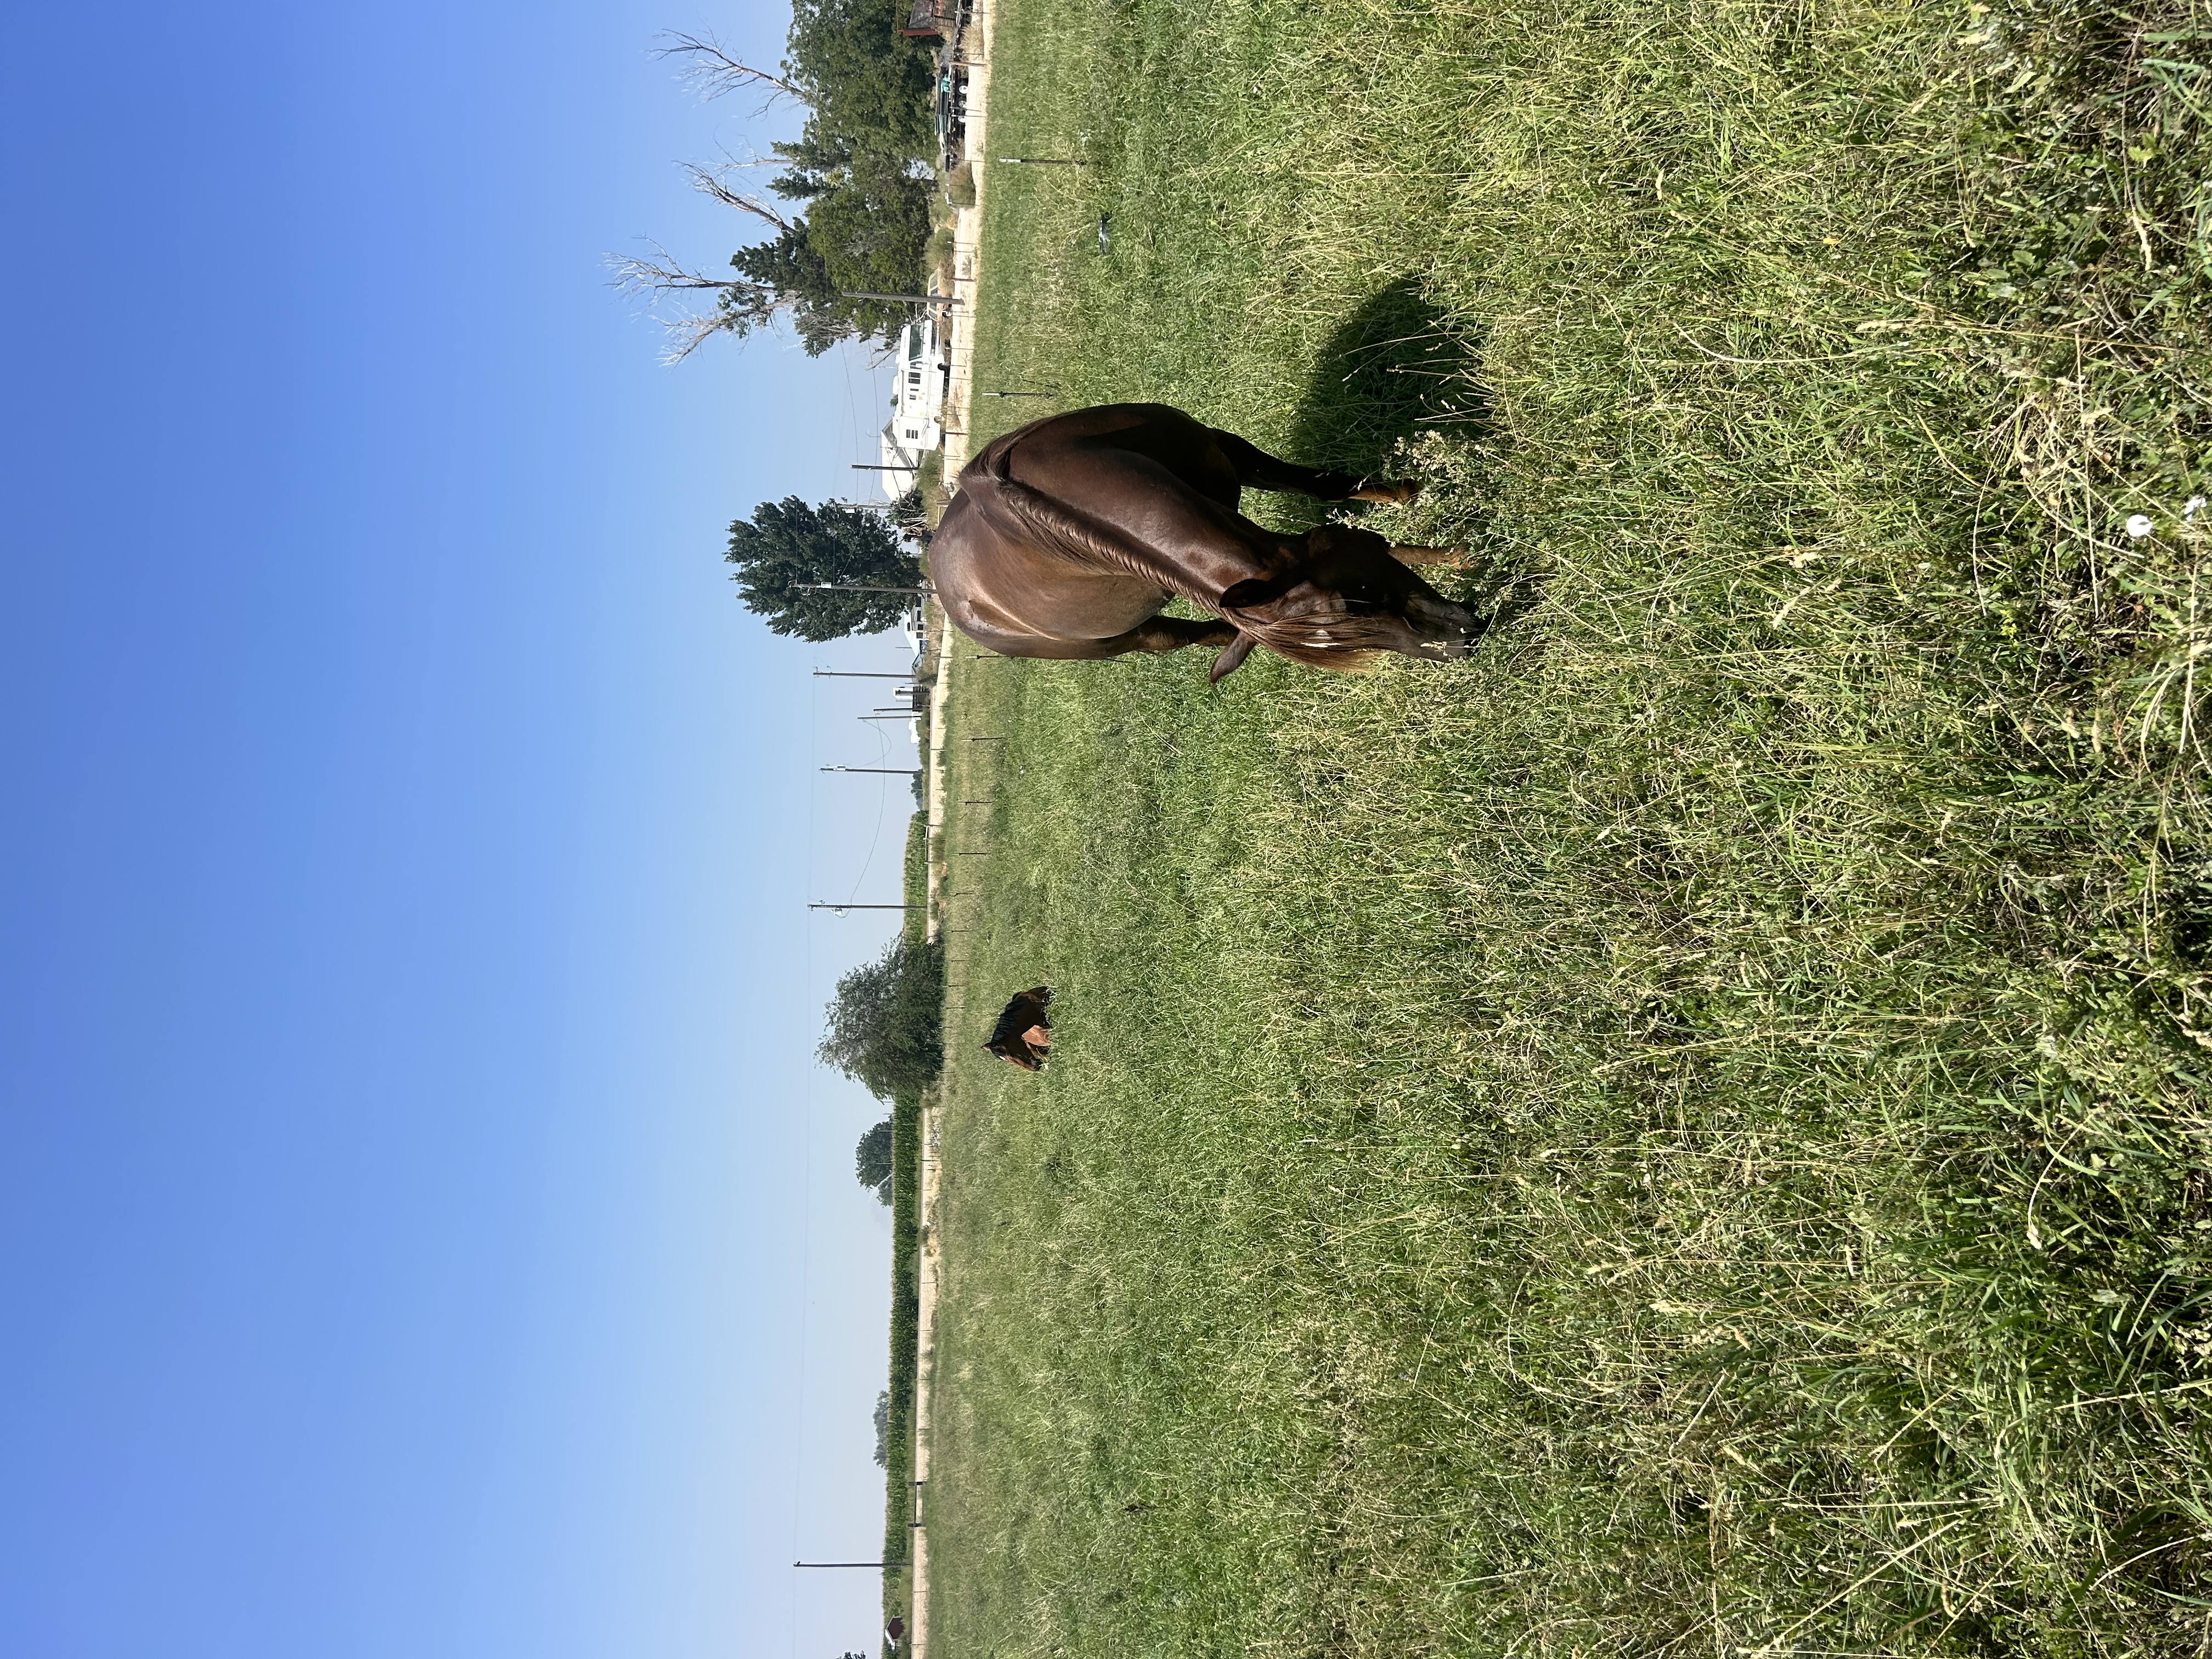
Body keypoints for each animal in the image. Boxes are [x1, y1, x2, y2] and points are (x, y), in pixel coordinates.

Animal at [927, 403, 1479, 681]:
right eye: (1353, 606)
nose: (1461, 643)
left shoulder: (1223, 447)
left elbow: (1326, 489)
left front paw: (1432, 530)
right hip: (1127, 641)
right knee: (1182, 637)